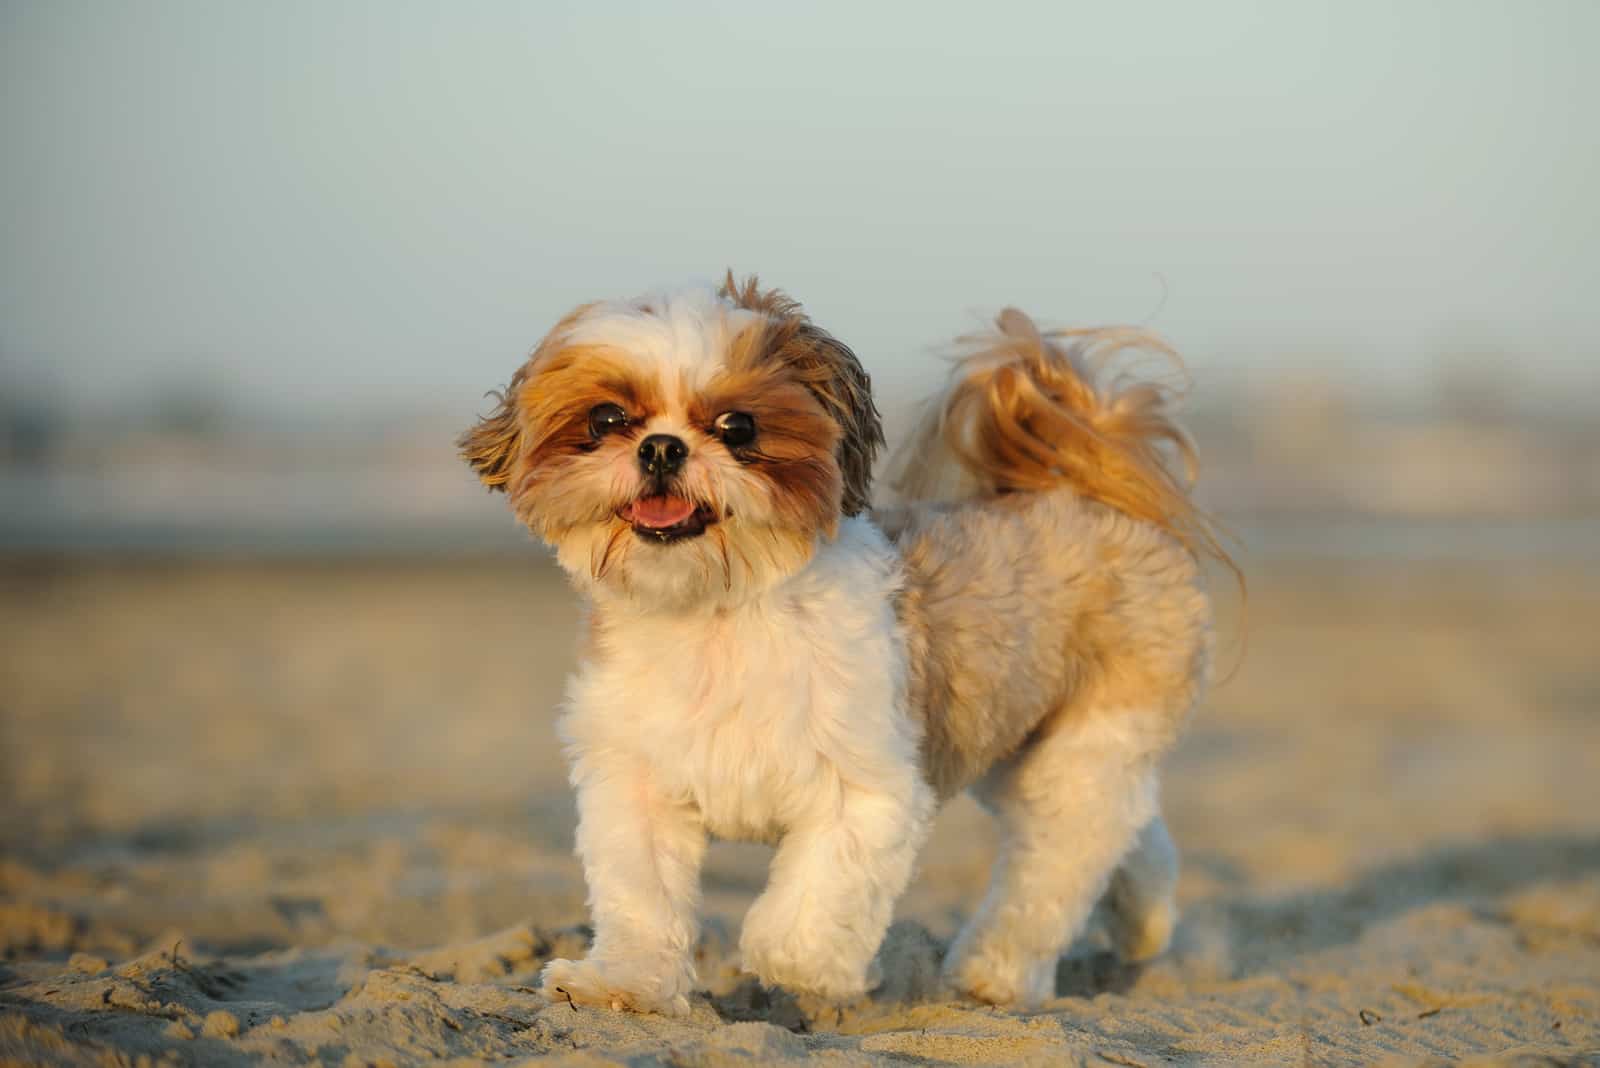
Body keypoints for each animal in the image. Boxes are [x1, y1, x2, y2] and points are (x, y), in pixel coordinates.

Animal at [457, 271, 1228, 1016]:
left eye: (738, 427)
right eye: (607, 420)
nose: (662, 447)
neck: (717, 613)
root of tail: (1088, 493)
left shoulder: (865, 787)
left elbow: (809, 906)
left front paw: (801, 968)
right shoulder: (635, 783)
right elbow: (642, 897)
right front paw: (625, 982)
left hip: (1092, 737)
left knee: (1059, 856)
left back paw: (994, 974)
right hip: (1024, 751)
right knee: (1127, 832)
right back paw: (1141, 921)